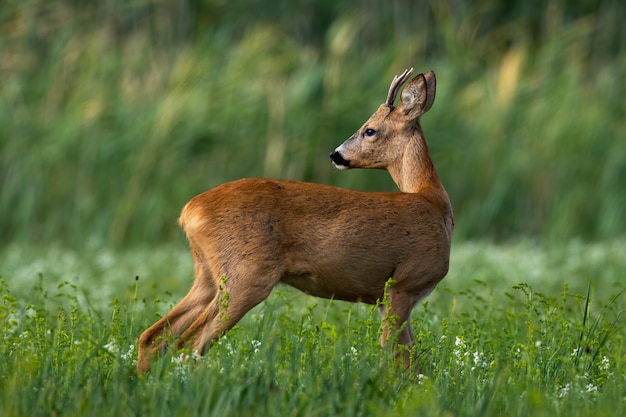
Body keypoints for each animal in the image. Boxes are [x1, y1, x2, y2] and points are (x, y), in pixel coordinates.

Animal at [138, 68, 454, 374]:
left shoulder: (394, 295)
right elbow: (397, 358)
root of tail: (190, 210)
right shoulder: (401, 285)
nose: (336, 155)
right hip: (247, 274)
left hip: (208, 275)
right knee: (190, 346)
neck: (434, 202)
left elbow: (410, 360)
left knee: (152, 336)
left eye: (369, 130)